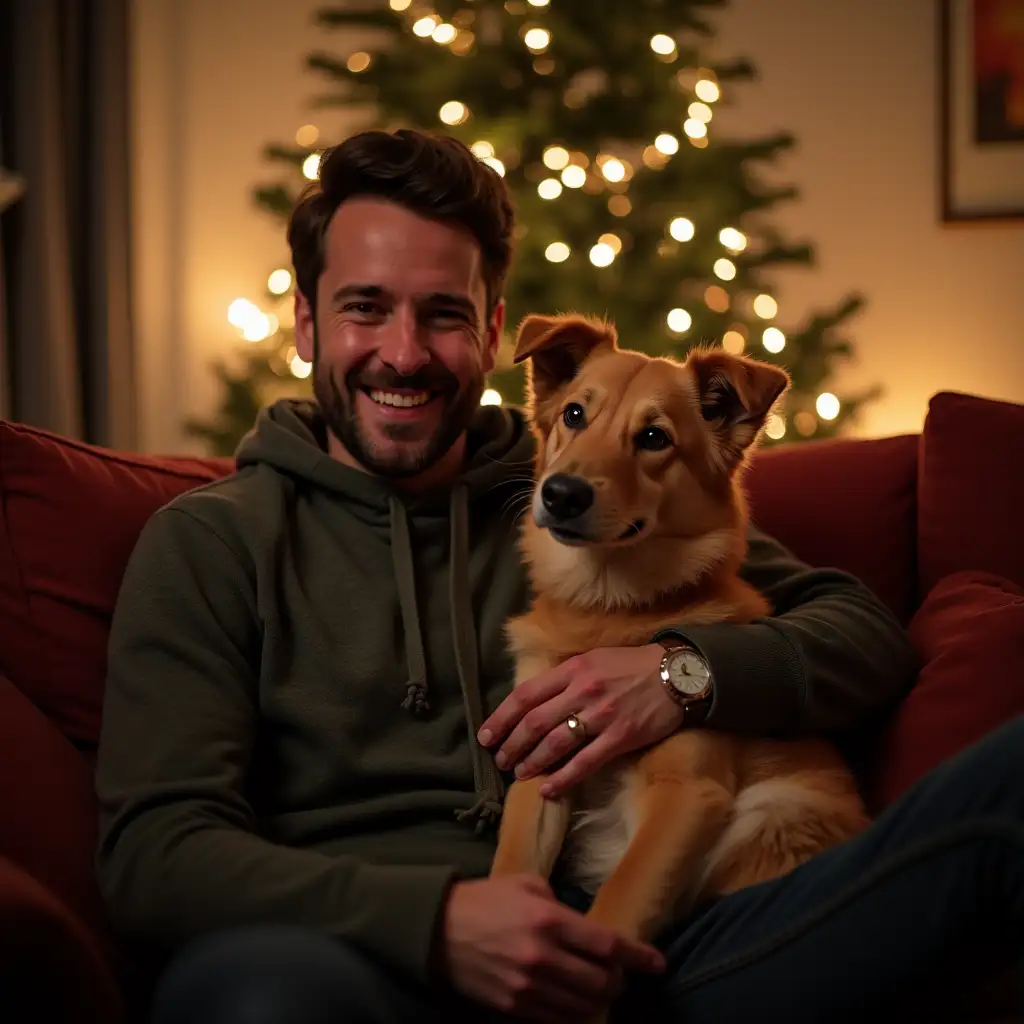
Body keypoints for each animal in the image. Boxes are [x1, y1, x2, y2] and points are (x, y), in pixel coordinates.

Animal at [489, 313, 872, 999]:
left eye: (653, 437)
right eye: (575, 414)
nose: (561, 494)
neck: (607, 610)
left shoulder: (688, 794)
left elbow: (617, 907)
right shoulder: (542, 765)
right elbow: (511, 873)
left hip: (774, 815)